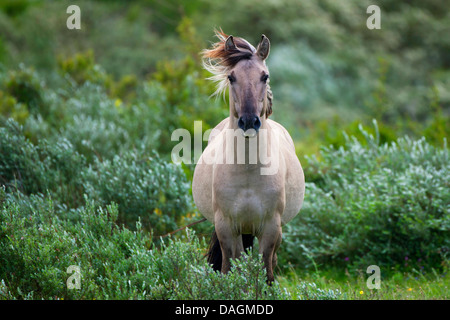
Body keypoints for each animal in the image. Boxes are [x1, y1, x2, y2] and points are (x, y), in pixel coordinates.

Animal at [192, 30, 304, 282]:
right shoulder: (226, 227)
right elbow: (230, 267)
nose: (249, 121)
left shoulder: (271, 228)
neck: (248, 173)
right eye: (231, 77)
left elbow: (266, 270)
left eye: (265, 76)